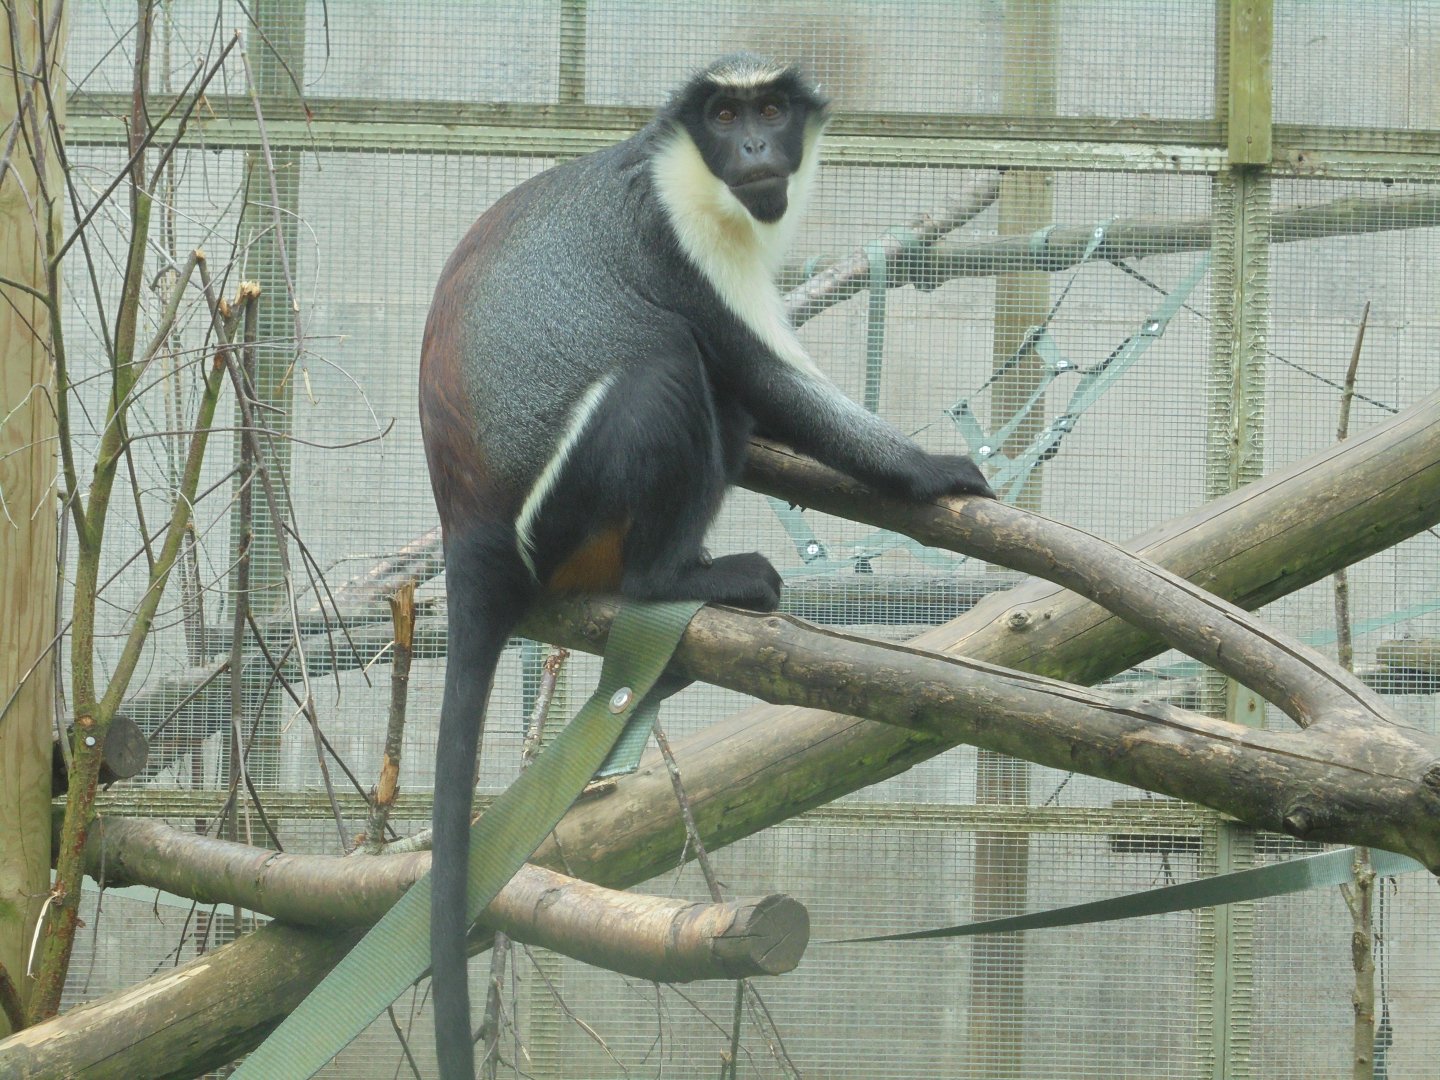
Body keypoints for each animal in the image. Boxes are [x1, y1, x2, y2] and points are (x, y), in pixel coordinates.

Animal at [418, 53, 993, 1077]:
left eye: (770, 109)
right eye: (725, 116)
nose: (758, 147)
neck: (689, 170)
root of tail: (470, 539)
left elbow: (753, 394)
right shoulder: (675, 242)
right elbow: (758, 370)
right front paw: (927, 470)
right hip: (565, 503)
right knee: (669, 361)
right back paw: (674, 580)